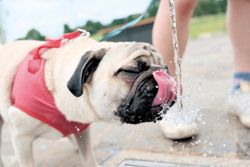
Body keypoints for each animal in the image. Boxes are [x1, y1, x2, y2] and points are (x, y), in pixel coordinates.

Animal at [0, 34, 176, 167]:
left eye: (166, 68)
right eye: (132, 70)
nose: (162, 73)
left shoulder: (81, 130)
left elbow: (88, 156)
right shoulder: (21, 138)